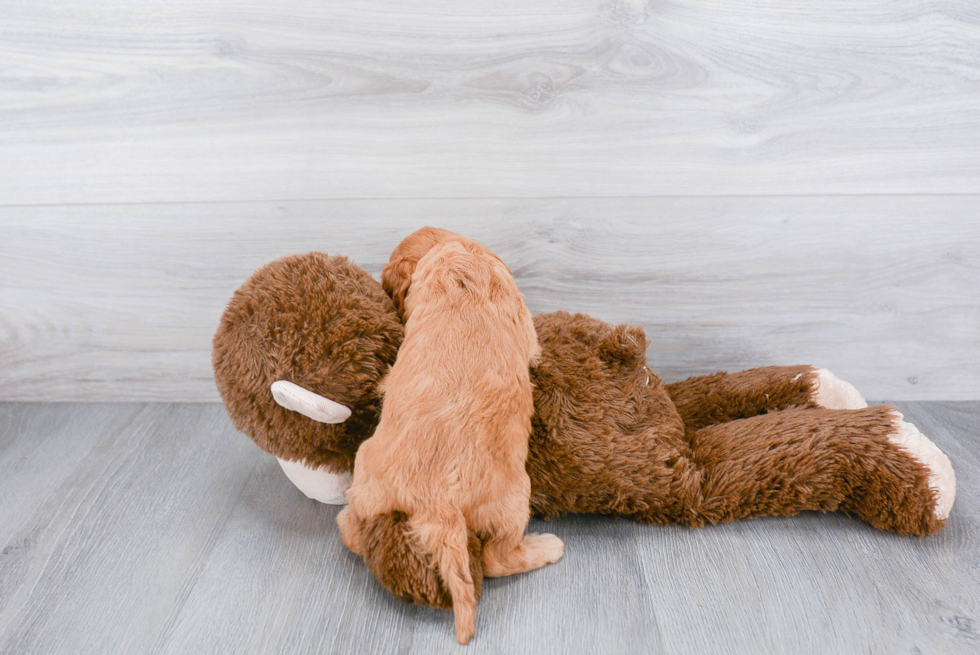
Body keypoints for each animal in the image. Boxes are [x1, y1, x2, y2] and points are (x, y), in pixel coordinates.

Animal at [338, 229, 564, 644]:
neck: (455, 258)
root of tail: (437, 507)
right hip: (515, 499)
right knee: (496, 558)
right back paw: (546, 547)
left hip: (366, 474)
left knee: (354, 531)